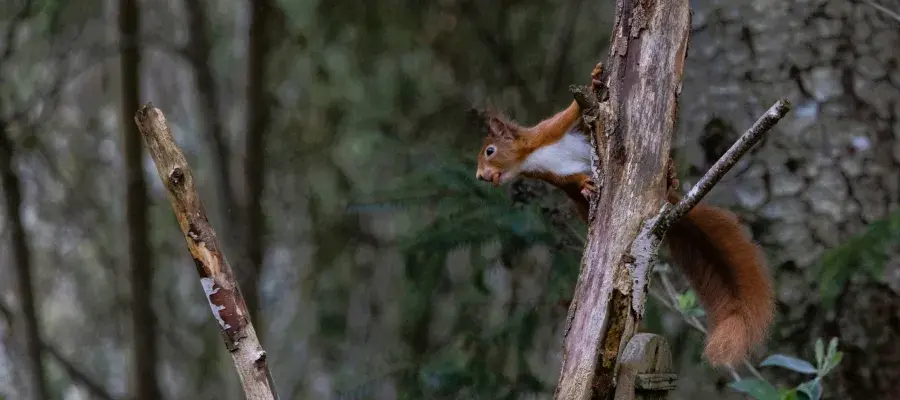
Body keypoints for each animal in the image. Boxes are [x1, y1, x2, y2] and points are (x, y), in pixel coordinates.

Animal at [473, 64, 774, 368]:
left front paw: (594, 80)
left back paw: (671, 175)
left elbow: (572, 112)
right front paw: (585, 187)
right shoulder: (556, 176)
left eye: (490, 151)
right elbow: (574, 182)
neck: (532, 157)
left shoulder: (550, 131)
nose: (481, 177)